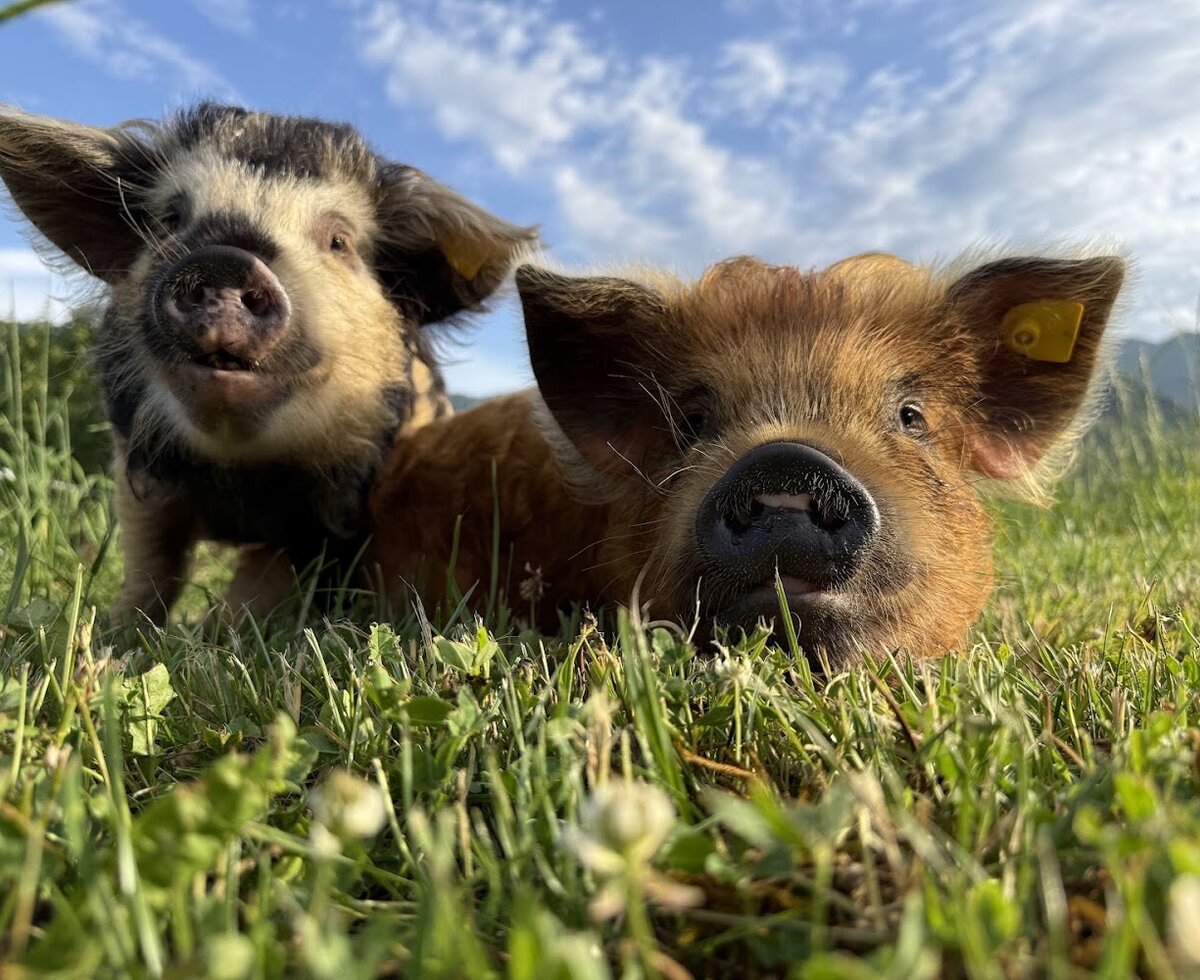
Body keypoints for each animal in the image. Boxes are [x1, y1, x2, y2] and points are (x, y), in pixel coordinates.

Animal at [0, 103, 534, 624]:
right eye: (170, 218)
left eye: (339, 241)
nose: (225, 260)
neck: (240, 479)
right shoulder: (140, 463)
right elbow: (151, 562)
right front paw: (119, 632)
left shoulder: (331, 513)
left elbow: (263, 582)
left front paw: (216, 631)